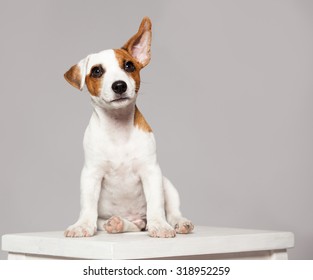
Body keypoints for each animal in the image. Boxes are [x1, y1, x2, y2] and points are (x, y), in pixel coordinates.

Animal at [62, 16, 193, 237]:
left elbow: (156, 204)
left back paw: (178, 222)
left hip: (167, 183)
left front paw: (160, 225)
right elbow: (87, 204)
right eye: (96, 71)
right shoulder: (91, 173)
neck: (118, 127)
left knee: (172, 210)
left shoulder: (151, 171)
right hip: (112, 218)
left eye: (129, 66)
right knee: (132, 225)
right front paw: (82, 225)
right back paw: (119, 224)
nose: (119, 85)